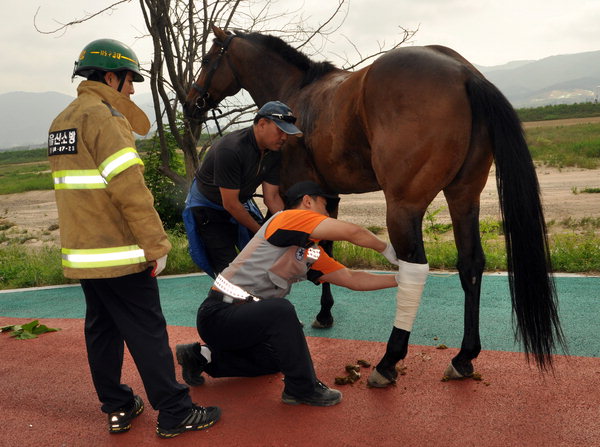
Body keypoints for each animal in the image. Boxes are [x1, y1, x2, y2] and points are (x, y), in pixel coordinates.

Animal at [185, 26, 564, 386]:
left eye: (207, 58)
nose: (190, 102)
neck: (297, 94)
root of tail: (463, 72)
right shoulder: (327, 196)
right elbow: (326, 246)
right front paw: (325, 312)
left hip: (403, 205)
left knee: (415, 267)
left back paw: (388, 361)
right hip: (464, 196)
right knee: (470, 265)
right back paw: (463, 357)